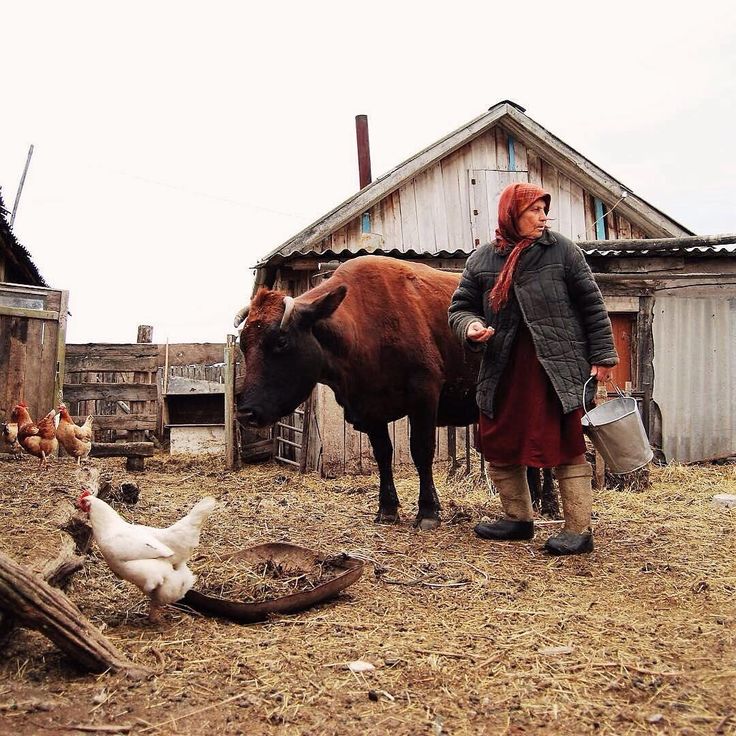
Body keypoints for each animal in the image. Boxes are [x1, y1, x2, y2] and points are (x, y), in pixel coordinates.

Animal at [233, 256, 480, 528]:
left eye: (281, 341)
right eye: (243, 345)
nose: (245, 413)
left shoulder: (425, 394)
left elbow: (421, 450)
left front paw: (427, 510)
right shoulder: (370, 409)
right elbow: (383, 454)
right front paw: (387, 508)